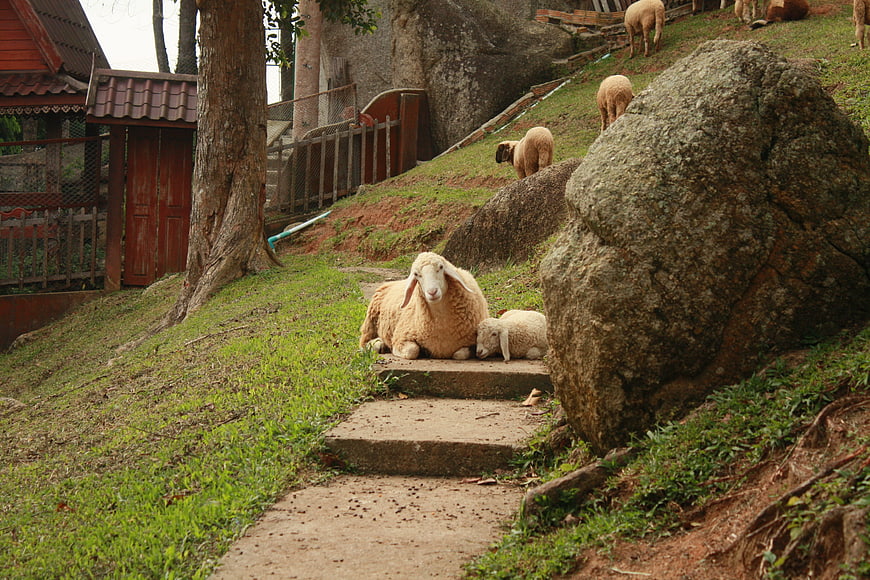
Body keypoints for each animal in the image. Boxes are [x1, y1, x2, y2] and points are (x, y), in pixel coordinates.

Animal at [359, 252, 489, 360]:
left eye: (441, 267)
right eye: (416, 274)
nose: (432, 292)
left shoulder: (472, 342)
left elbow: (460, 354)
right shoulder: (401, 336)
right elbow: (412, 351)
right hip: (370, 322)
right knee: (363, 342)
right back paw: (378, 344)